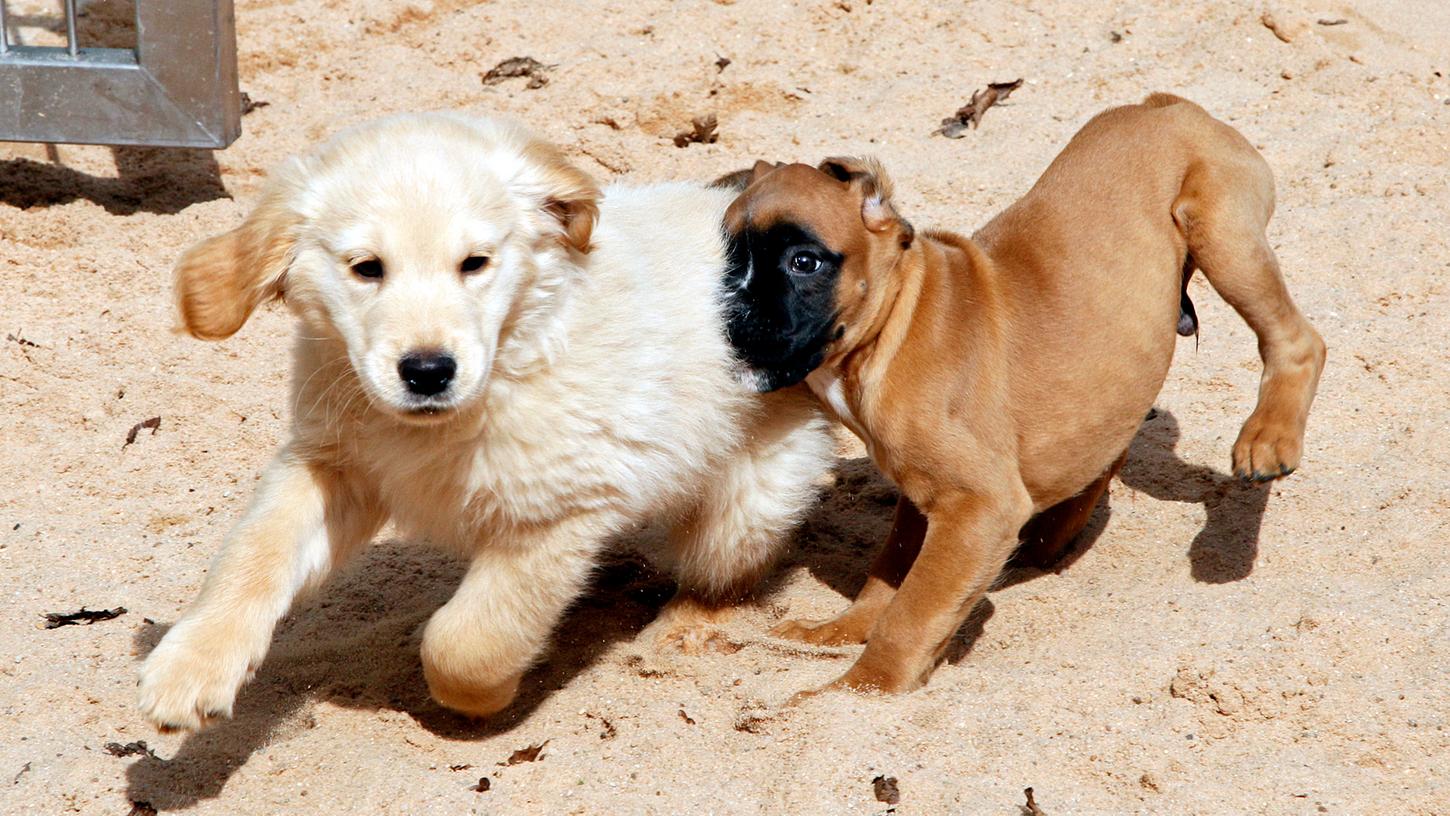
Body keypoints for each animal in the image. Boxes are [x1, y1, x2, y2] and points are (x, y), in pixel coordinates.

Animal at [142, 113, 841, 727]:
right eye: (367, 268)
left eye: (475, 263)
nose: (428, 371)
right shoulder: (331, 464)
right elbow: (252, 554)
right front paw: (191, 668)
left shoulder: (554, 517)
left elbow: (467, 642)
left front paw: (483, 698)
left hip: (751, 497)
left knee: (723, 574)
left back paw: (680, 630)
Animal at [725, 94, 1328, 695]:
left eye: (804, 263)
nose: (730, 316)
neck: (894, 324)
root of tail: (1165, 104)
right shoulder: (926, 499)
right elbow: (890, 573)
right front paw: (839, 631)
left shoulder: (978, 507)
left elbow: (912, 610)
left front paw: (861, 688)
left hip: (1222, 234)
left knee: (1297, 341)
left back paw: (1265, 446)